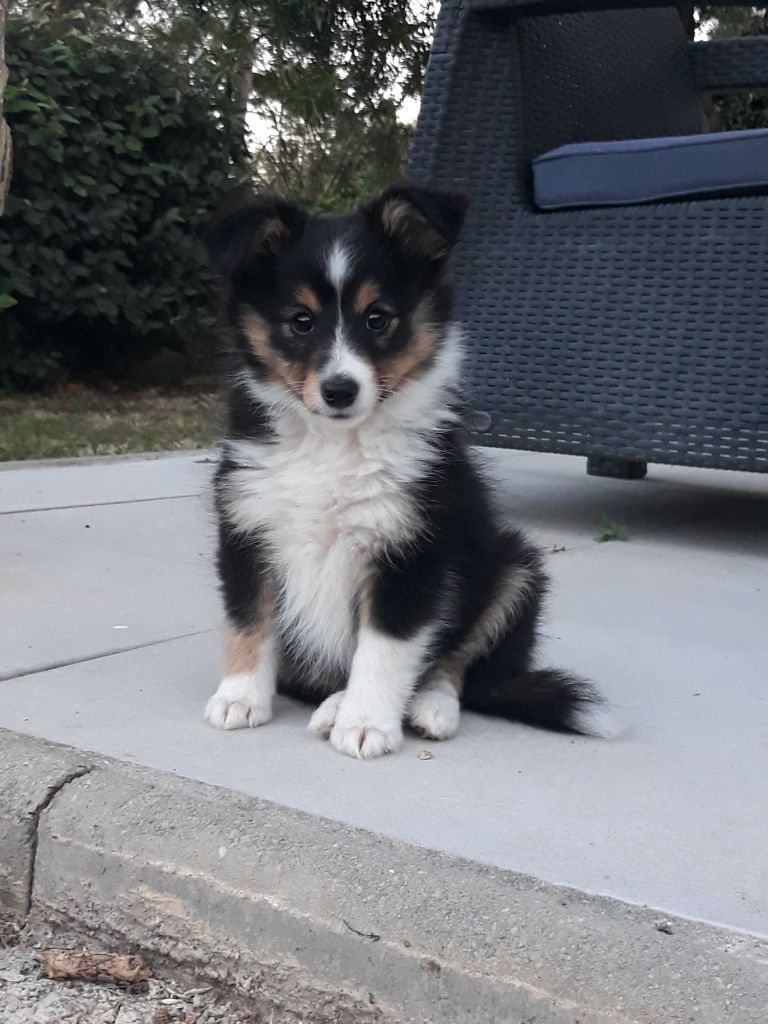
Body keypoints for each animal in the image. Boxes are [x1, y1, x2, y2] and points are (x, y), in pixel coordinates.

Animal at [199, 183, 604, 759]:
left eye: (377, 318)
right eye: (301, 321)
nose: (340, 390)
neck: (334, 445)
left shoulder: (411, 547)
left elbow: (385, 646)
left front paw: (366, 723)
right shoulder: (247, 526)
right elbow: (248, 618)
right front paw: (238, 698)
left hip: (514, 567)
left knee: (453, 663)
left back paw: (420, 707)